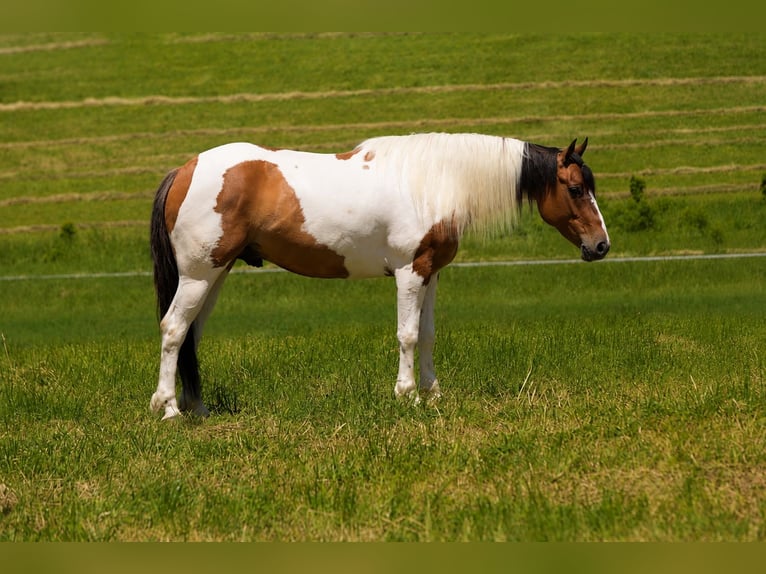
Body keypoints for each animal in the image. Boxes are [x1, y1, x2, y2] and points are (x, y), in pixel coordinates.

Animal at [149, 132, 610, 420]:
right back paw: (168, 409)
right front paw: (406, 396)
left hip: (215, 275)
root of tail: (184, 170)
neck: (434, 181)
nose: (601, 245)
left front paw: (433, 394)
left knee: (191, 335)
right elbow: (407, 334)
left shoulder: (432, 273)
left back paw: (198, 408)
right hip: (198, 275)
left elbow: (427, 335)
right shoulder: (409, 271)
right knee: (173, 329)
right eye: (574, 188)